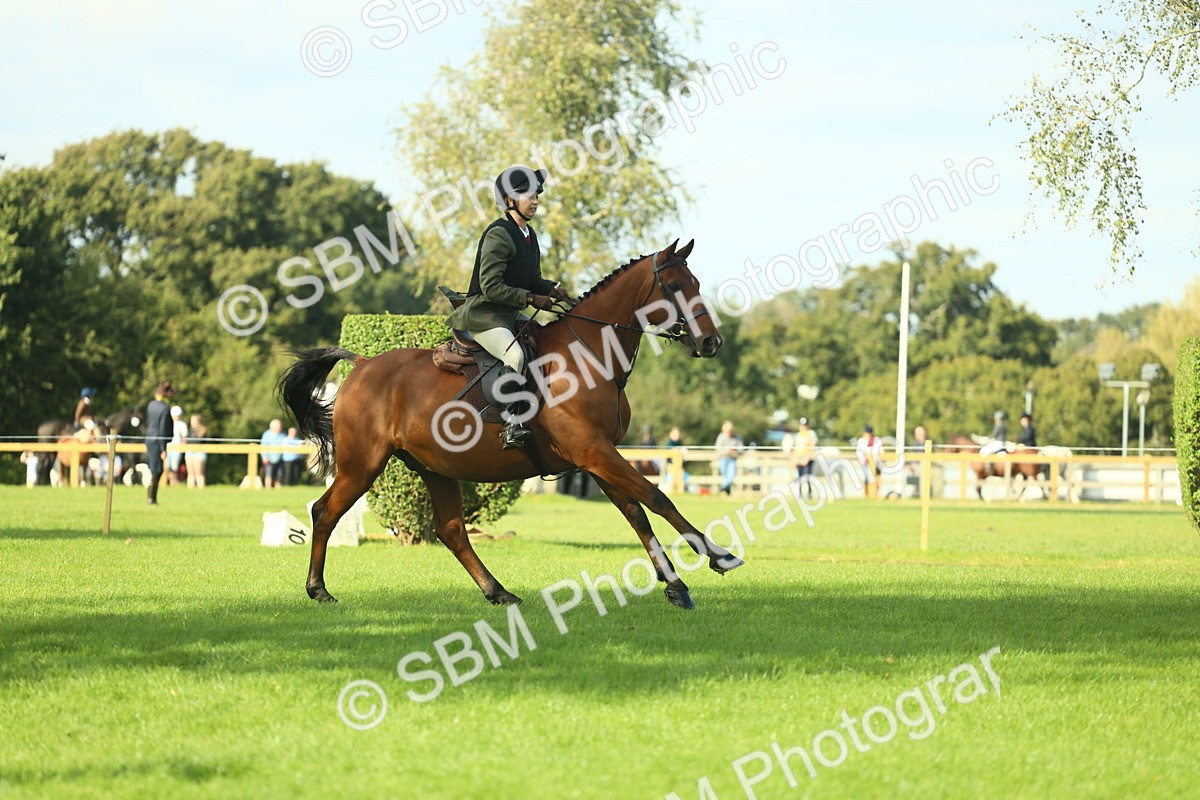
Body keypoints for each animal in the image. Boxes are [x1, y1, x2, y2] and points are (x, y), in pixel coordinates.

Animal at [278, 239, 743, 610]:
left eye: (696, 284)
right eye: (675, 287)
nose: (711, 342)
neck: (591, 354)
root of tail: (362, 364)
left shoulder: (596, 456)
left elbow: (637, 513)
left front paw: (676, 586)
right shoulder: (595, 452)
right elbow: (657, 498)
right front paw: (718, 556)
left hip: (434, 467)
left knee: (451, 530)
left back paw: (497, 591)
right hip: (363, 465)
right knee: (325, 512)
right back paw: (318, 589)